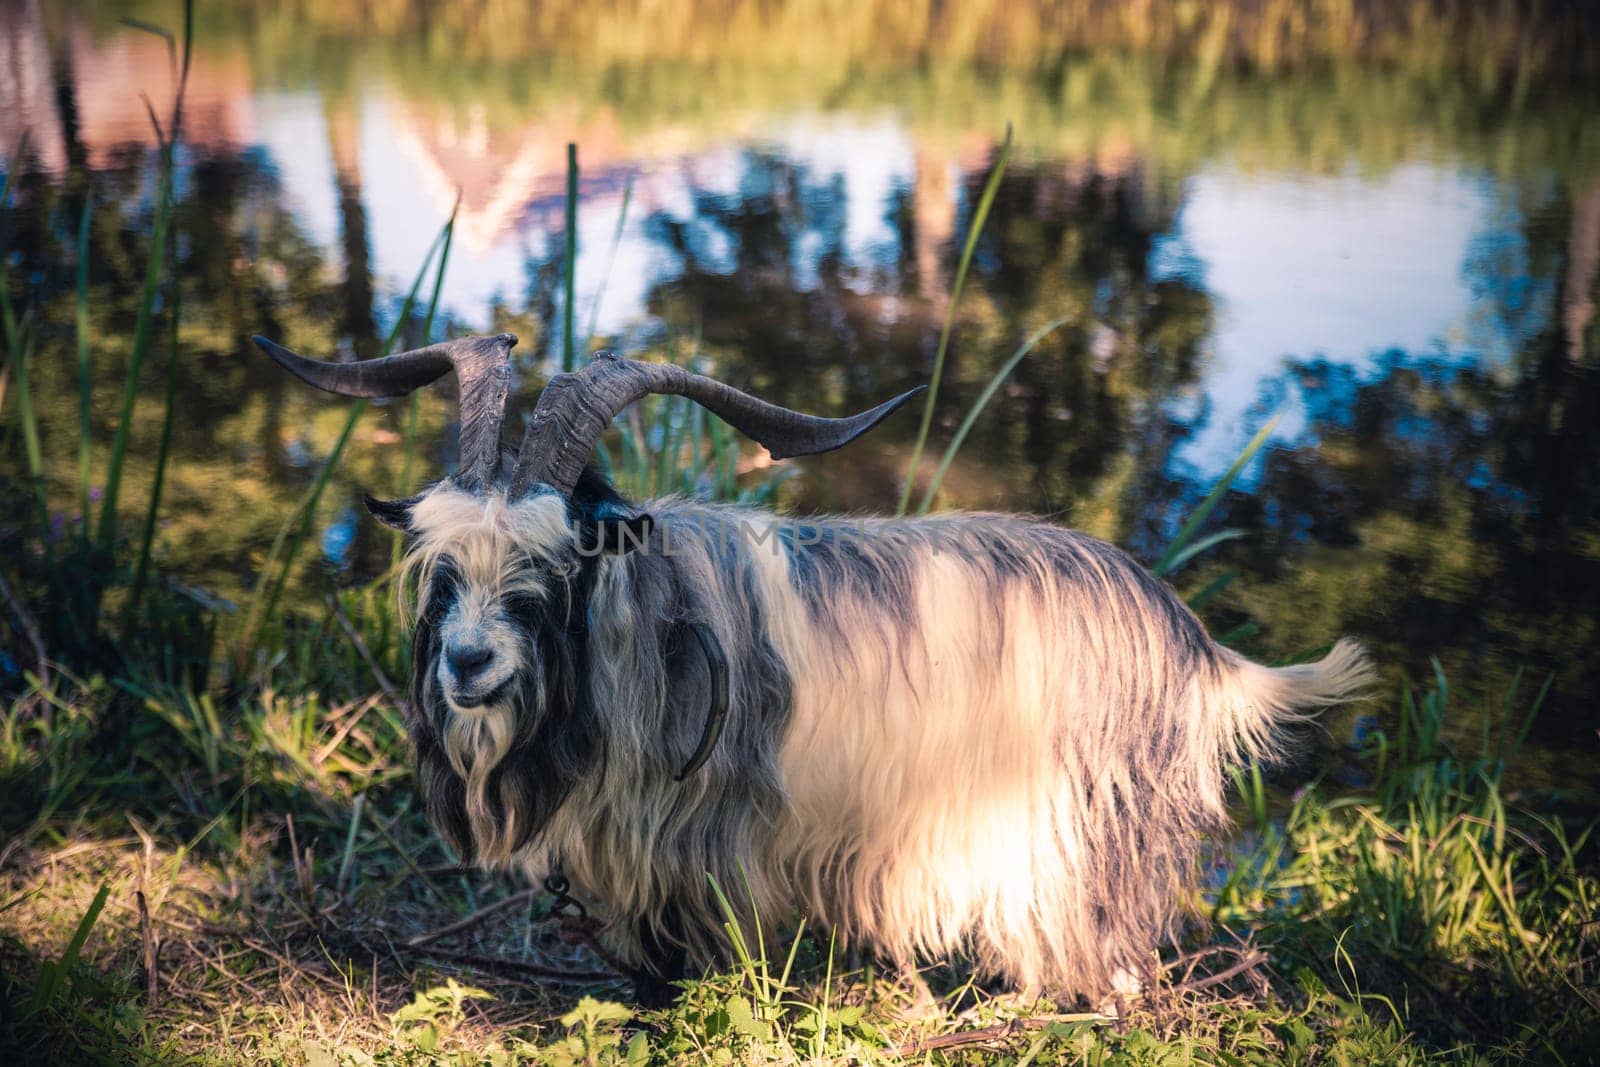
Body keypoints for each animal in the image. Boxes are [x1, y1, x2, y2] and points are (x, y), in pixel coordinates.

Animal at [256, 335, 1369, 1011]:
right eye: (445, 565)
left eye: (551, 565)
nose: (469, 660)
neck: (640, 627)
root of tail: (1195, 646)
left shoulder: (708, 835)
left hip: (1077, 835)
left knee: (1110, 961)